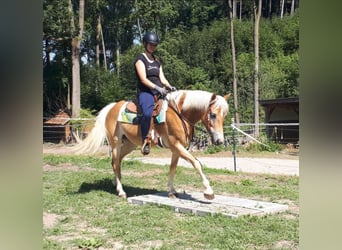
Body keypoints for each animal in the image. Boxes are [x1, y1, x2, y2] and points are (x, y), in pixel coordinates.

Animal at [73, 89, 231, 199]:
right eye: (213, 115)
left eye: (224, 116)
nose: (219, 141)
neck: (179, 114)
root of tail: (112, 107)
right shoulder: (176, 145)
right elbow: (196, 163)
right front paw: (208, 191)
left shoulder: (176, 149)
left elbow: (173, 168)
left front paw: (171, 191)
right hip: (115, 142)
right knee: (115, 162)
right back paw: (121, 191)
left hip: (129, 144)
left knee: (116, 161)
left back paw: (115, 184)